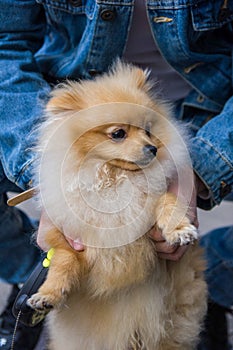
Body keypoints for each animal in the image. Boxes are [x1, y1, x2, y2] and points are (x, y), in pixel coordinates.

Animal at [27, 63, 208, 350]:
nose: (152, 148)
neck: (114, 179)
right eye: (118, 134)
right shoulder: (67, 236)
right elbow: (63, 261)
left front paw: (178, 230)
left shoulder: (154, 199)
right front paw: (48, 294)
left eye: (148, 130)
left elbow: (167, 203)